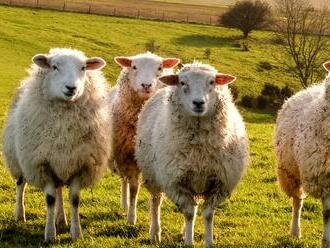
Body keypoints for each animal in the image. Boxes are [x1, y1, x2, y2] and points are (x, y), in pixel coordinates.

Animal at [2, 47, 111, 241]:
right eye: (54, 67)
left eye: (83, 68)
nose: (71, 88)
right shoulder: (42, 165)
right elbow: (50, 200)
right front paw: (50, 234)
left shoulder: (79, 165)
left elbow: (74, 200)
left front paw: (76, 233)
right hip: (20, 161)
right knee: (21, 186)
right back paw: (20, 215)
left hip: (61, 163)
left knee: (60, 190)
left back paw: (61, 220)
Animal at [109, 52, 179, 225]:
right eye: (134, 67)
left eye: (160, 68)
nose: (146, 85)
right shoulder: (128, 157)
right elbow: (134, 188)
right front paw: (131, 217)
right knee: (124, 180)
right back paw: (124, 203)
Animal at [134, 61, 248, 246]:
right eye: (182, 83)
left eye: (212, 82)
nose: (198, 103)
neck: (199, 151)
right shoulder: (176, 182)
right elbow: (188, 213)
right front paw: (189, 242)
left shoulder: (219, 184)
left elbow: (207, 215)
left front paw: (208, 242)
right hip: (153, 175)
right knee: (156, 202)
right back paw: (155, 233)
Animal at [274, 61, 330, 247]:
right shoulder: (324, 178)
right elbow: (327, 214)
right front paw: (326, 241)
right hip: (291, 172)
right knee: (297, 202)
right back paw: (295, 231)